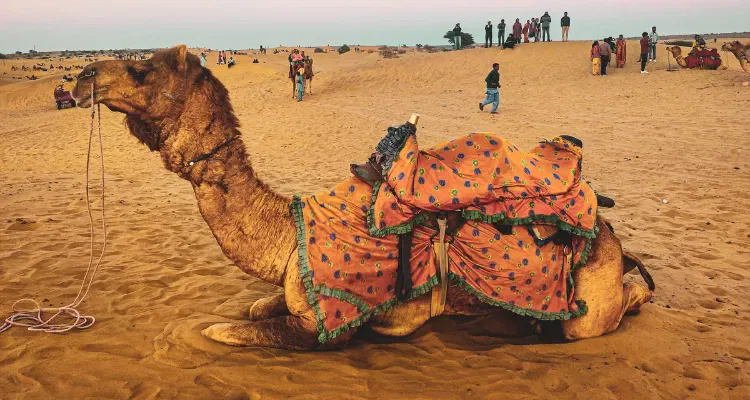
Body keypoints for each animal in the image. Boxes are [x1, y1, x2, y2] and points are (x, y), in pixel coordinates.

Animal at [72, 45, 654, 350]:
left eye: (142, 69)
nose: (80, 77)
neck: (287, 230)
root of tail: (611, 235)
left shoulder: (321, 325)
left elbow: (228, 330)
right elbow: (256, 304)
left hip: (589, 301)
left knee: (606, 310)